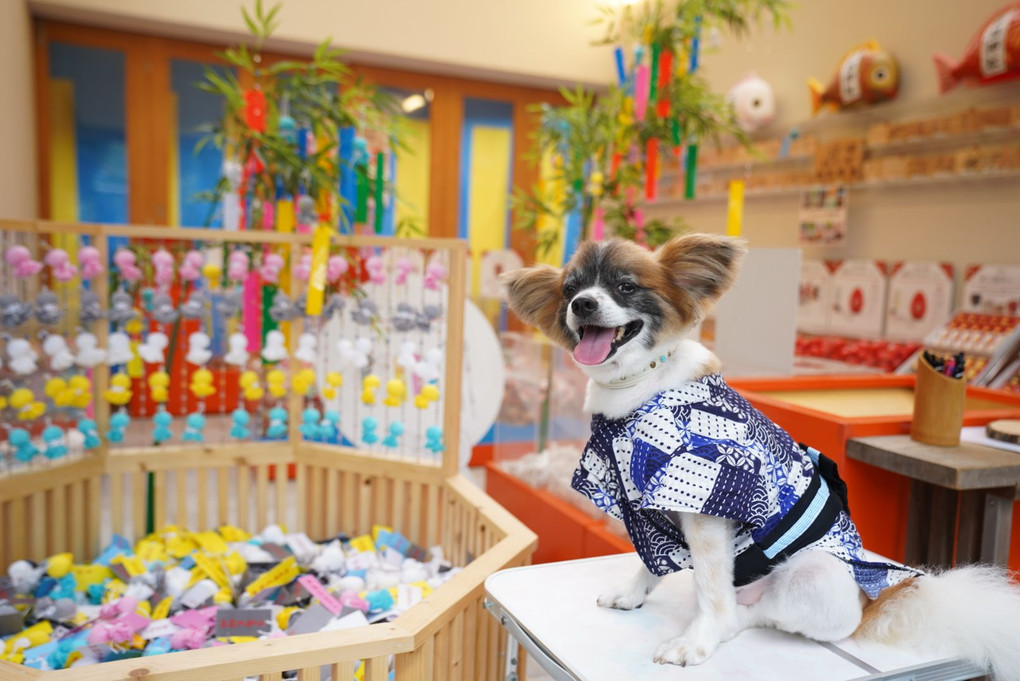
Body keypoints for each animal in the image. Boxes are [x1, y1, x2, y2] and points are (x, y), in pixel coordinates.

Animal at [501, 232, 1020, 676]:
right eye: (570, 289)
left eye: (626, 286)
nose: (583, 304)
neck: (640, 384)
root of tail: (873, 603)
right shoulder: (645, 507)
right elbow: (650, 561)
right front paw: (632, 594)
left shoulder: (707, 502)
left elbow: (712, 589)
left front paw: (697, 642)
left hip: (814, 576)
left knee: (754, 614)